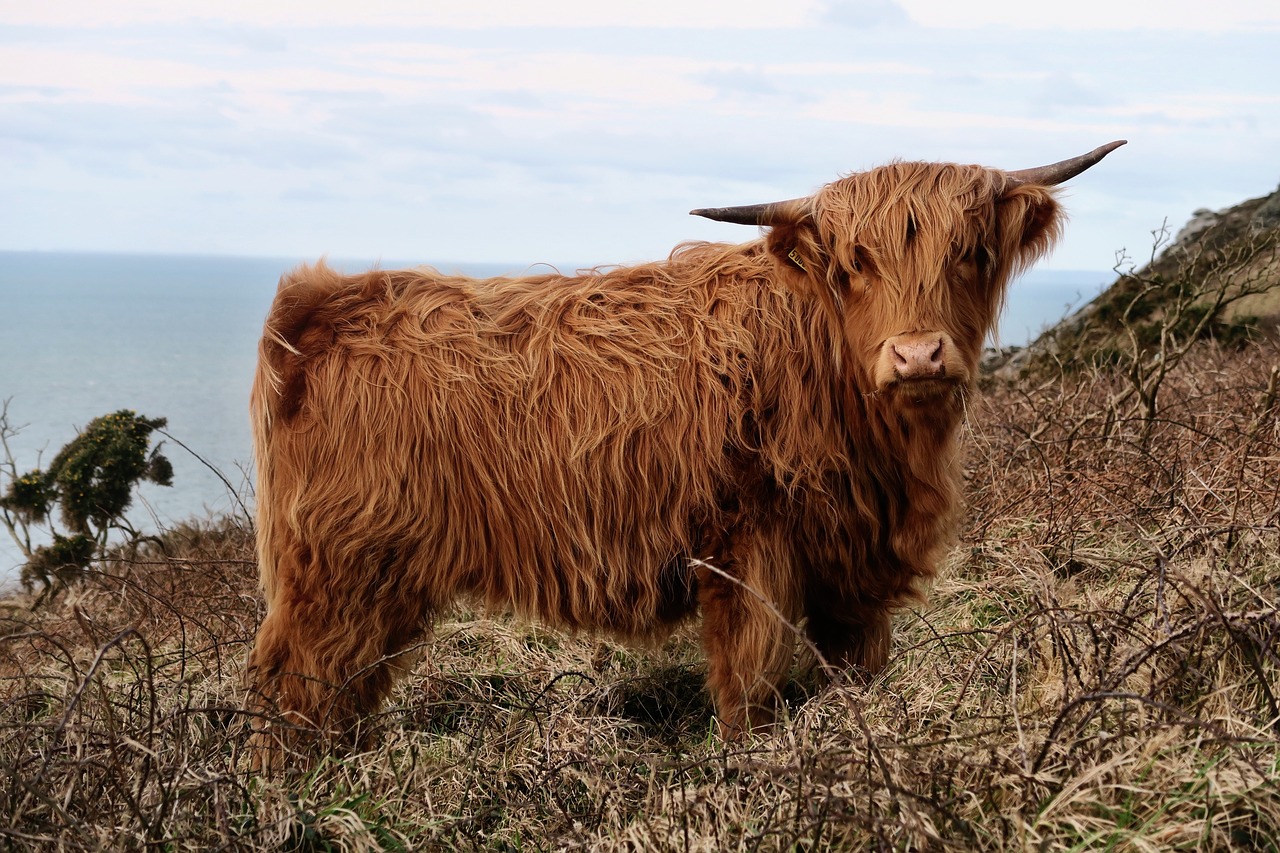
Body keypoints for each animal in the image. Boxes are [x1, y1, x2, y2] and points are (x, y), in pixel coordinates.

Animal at [244, 142, 1126, 758]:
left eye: (971, 253)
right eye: (854, 264)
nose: (917, 355)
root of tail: (324, 302)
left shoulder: (852, 566)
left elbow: (855, 671)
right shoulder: (748, 546)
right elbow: (752, 679)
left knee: (344, 691)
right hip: (339, 568)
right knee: (297, 685)